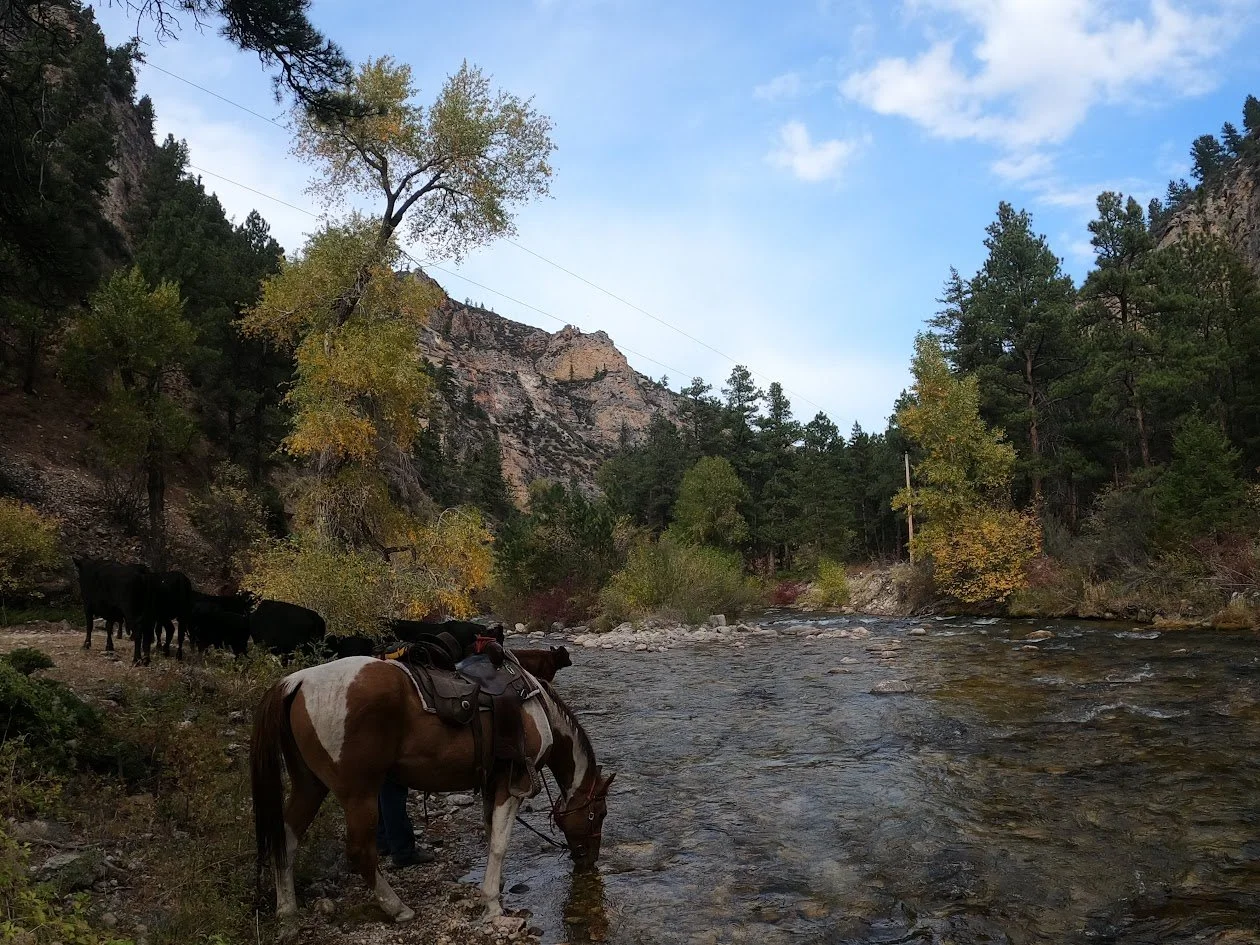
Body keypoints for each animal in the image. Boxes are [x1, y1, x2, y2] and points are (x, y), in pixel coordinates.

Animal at [249, 656, 614, 925]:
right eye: (598, 814)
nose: (588, 861)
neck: (537, 712)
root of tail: (297, 682)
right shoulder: (513, 786)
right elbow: (499, 844)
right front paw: (494, 905)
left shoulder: (491, 782)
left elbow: (489, 832)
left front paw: (493, 888)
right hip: (359, 792)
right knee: (360, 852)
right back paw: (398, 908)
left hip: (309, 785)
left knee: (286, 838)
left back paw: (286, 909)